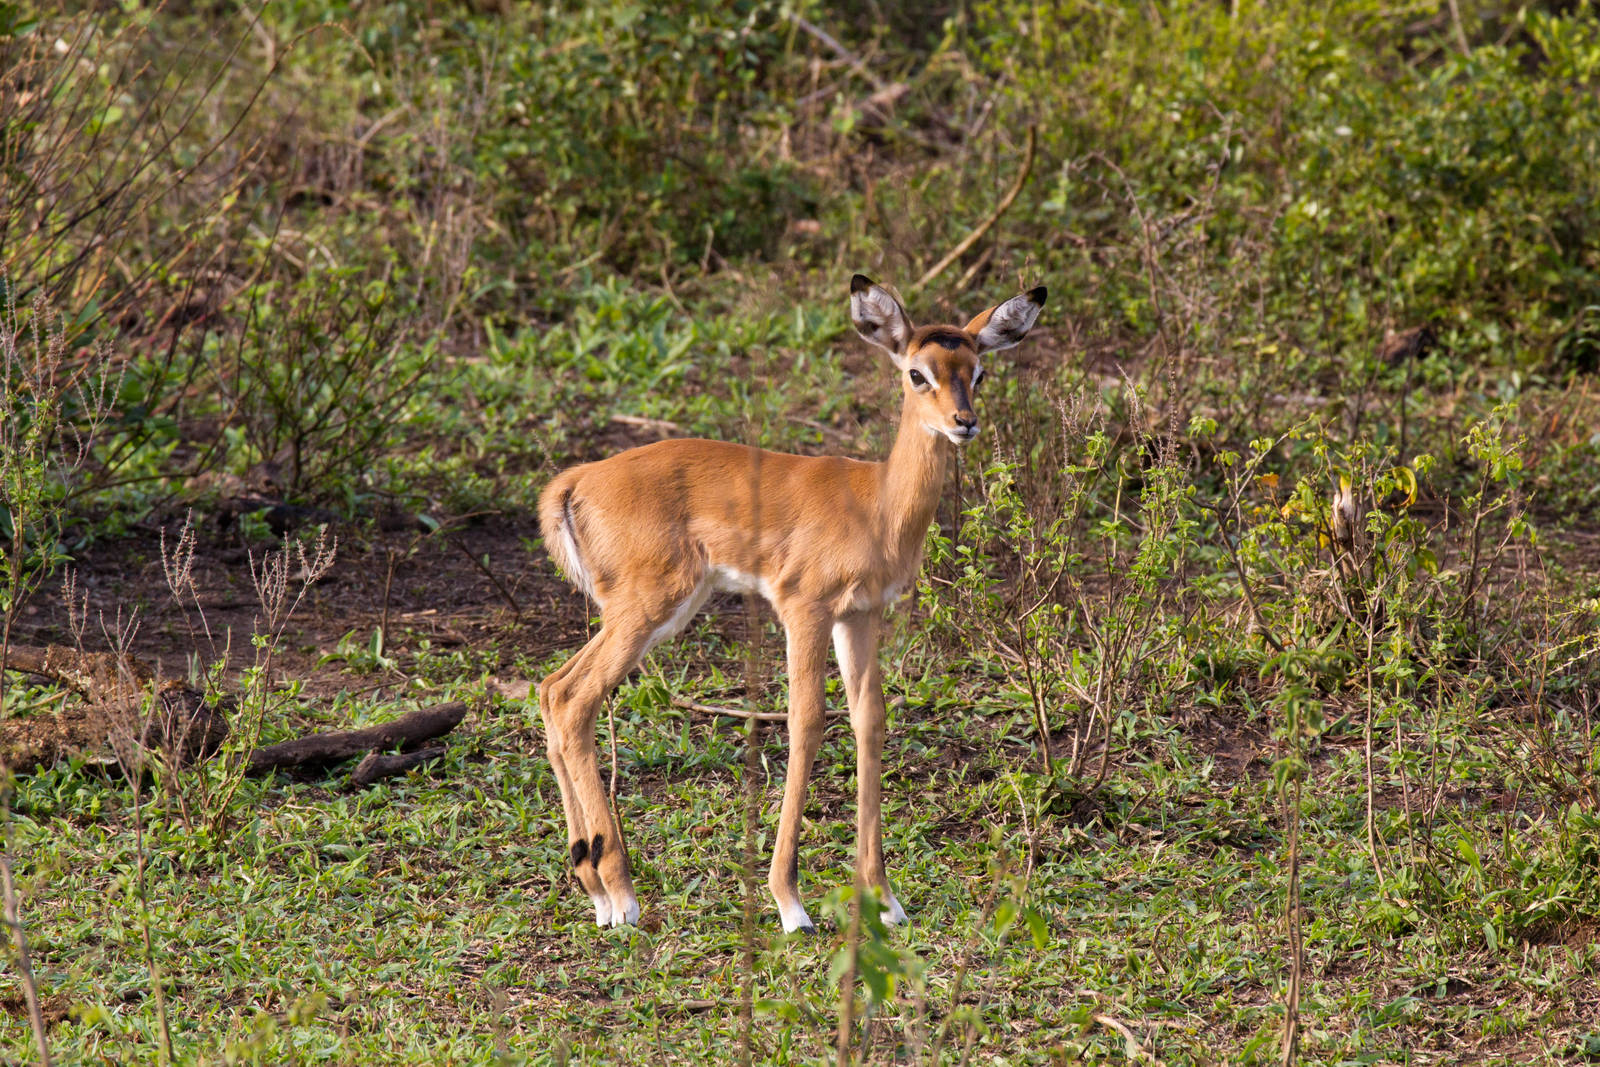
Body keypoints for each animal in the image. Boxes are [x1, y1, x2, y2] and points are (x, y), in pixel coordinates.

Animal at [536, 275, 1046, 931]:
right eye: (917, 372)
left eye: (977, 371)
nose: (965, 422)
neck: (877, 502)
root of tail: (575, 480)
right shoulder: (804, 608)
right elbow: (806, 722)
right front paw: (790, 903)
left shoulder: (861, 615)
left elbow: (869, 721)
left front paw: (884, 899)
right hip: (648, 608)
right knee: (576, 699)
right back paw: (623, 897)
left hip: (646, 613)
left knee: (552, 690)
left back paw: (596, 890)